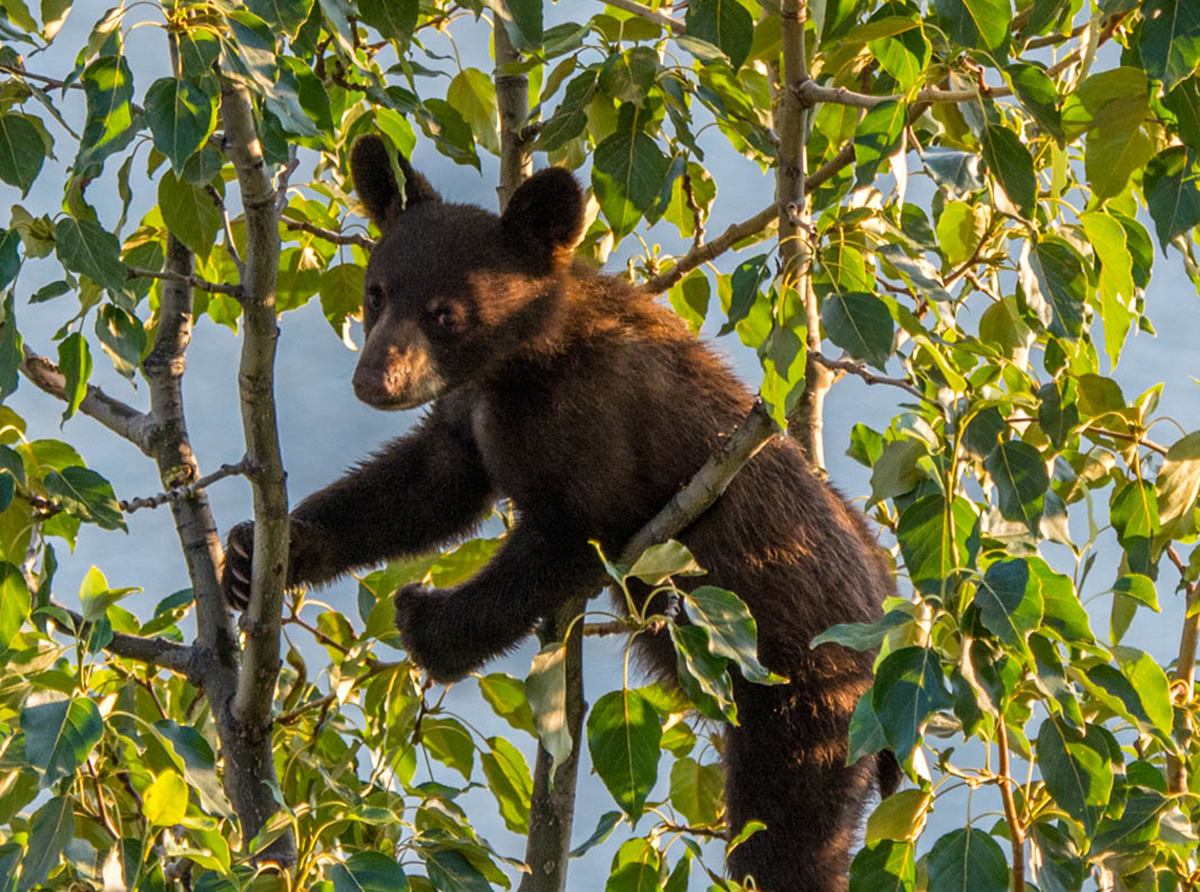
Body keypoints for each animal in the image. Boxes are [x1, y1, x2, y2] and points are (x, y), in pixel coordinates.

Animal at [221, 134, 897, 891]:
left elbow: (573, 540)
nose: (375, 379)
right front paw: (266, 551)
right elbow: (426, 485)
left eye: (444, 312)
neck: (520, 366)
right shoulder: (470, 415)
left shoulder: (601, 432)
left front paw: (428, 622)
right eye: (378, 293)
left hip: (807, 705)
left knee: (787, 839)